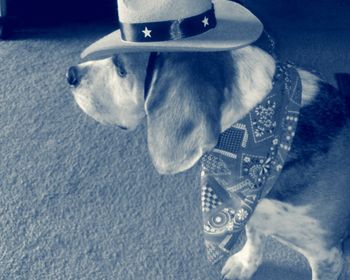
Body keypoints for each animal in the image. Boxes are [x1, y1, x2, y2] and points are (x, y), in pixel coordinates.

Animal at [67, 44, 348, 278]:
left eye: (121, 69)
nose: (70, 74)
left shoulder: (327, 256)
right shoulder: (248, 208)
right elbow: (254, 237)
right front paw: (246, 264)